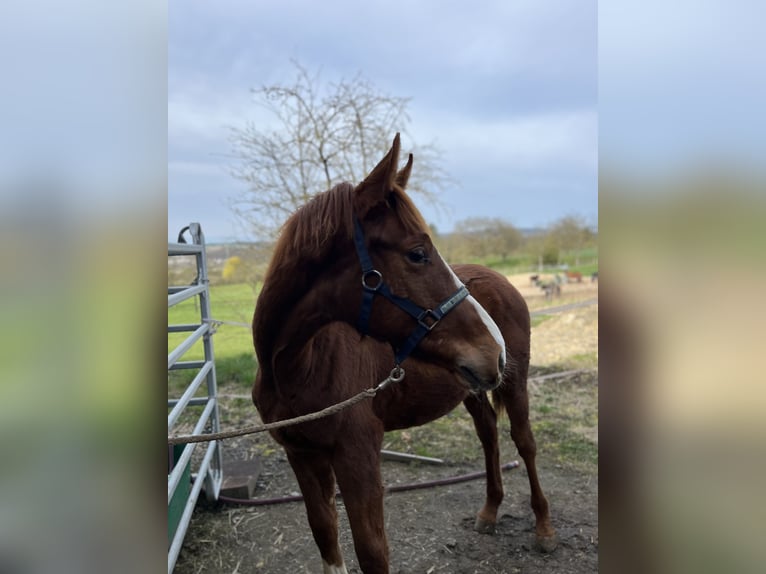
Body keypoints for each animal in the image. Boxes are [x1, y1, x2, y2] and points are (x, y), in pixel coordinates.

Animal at [254, 136, 560, 574]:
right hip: (470, 389)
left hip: (515, 385)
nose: (496, 350)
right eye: (417, 253)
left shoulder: (358, 460)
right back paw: (489, 512)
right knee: (488, 434)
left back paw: (544, 530)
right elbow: (325, 534)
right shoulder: (302, 456)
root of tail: (501, 279)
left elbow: (372, 551)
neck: (298, 368)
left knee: (525, 443)